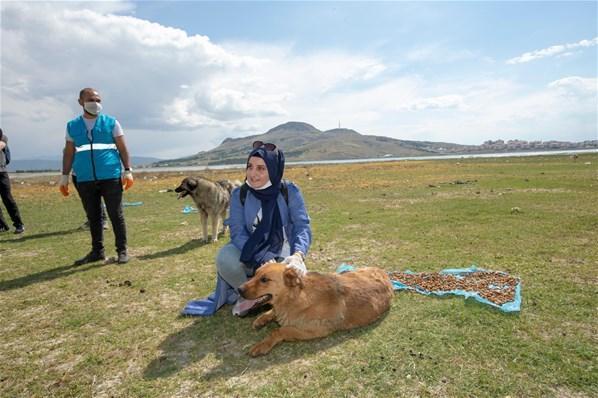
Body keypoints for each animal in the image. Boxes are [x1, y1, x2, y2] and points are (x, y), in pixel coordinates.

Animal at [237, 262, 396, 356]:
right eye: (255, 274)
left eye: (264, 279)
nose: (238, 289)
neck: (295, 297)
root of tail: (384, 273)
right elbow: (272, 313)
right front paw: (261, 319)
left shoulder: (315, 329)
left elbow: (280, 330)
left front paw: (263, 344)